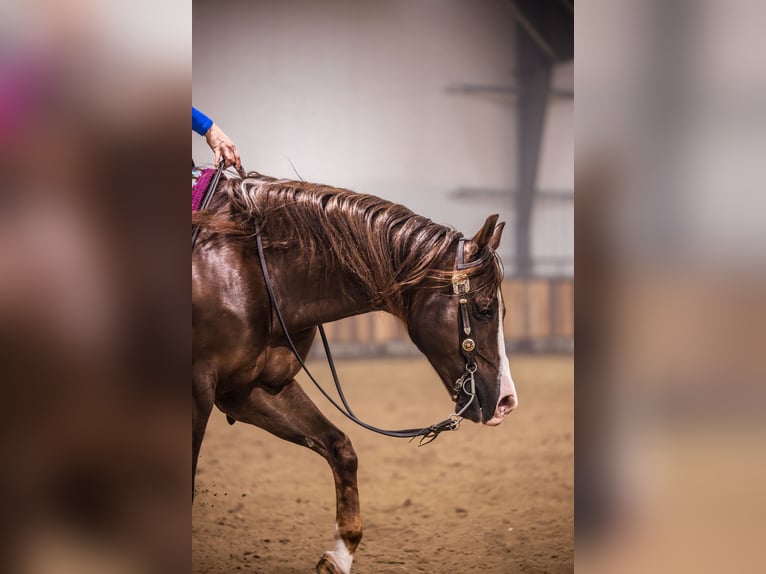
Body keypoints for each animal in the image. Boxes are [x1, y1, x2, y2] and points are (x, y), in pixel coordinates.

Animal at [192, 172, 518, 574]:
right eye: (485, 309)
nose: (507, 401)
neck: (250, 267)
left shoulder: (249, 390)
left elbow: (340, 447)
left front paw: (340, 554)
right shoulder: (198, 390)